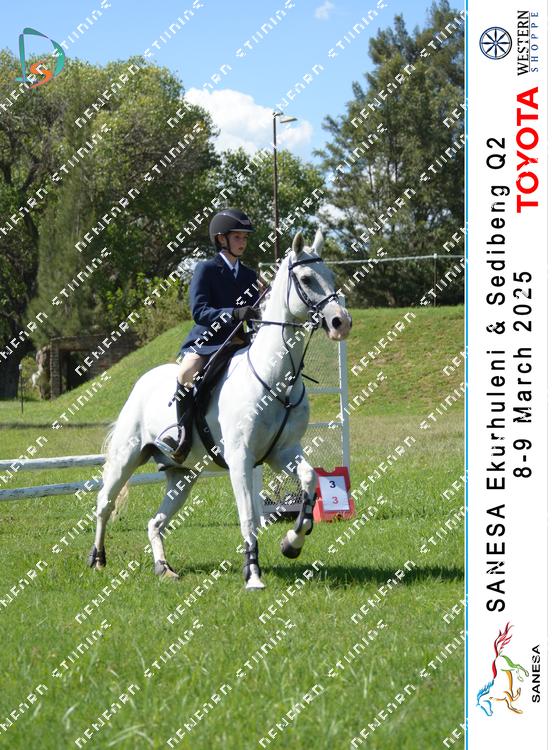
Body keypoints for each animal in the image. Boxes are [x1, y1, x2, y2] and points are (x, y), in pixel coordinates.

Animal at [87, 230, 351, 589]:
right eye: (308, 278)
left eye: (331, 276)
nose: (341, 322)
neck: (276, 377)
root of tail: (141, 382)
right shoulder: (241, 457)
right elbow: (248, 515)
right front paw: (252, 573)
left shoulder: (283, 452)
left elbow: (310, 479)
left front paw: (292, 542)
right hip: (126, 457)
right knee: (104, 503)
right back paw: (98, 560)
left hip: (182, 476)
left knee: (155, 522)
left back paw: (163, 568)